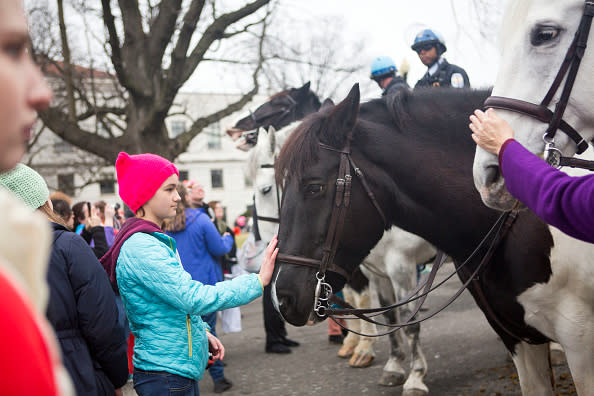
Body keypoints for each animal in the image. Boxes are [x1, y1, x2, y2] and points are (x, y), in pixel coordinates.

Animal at [274, 84, 564, 396]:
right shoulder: (376, 271)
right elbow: (391, 317)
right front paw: (393, 366)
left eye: (314, 187)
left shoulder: (401, 267)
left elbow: (409, 320)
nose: (283, 299)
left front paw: (414, 377)